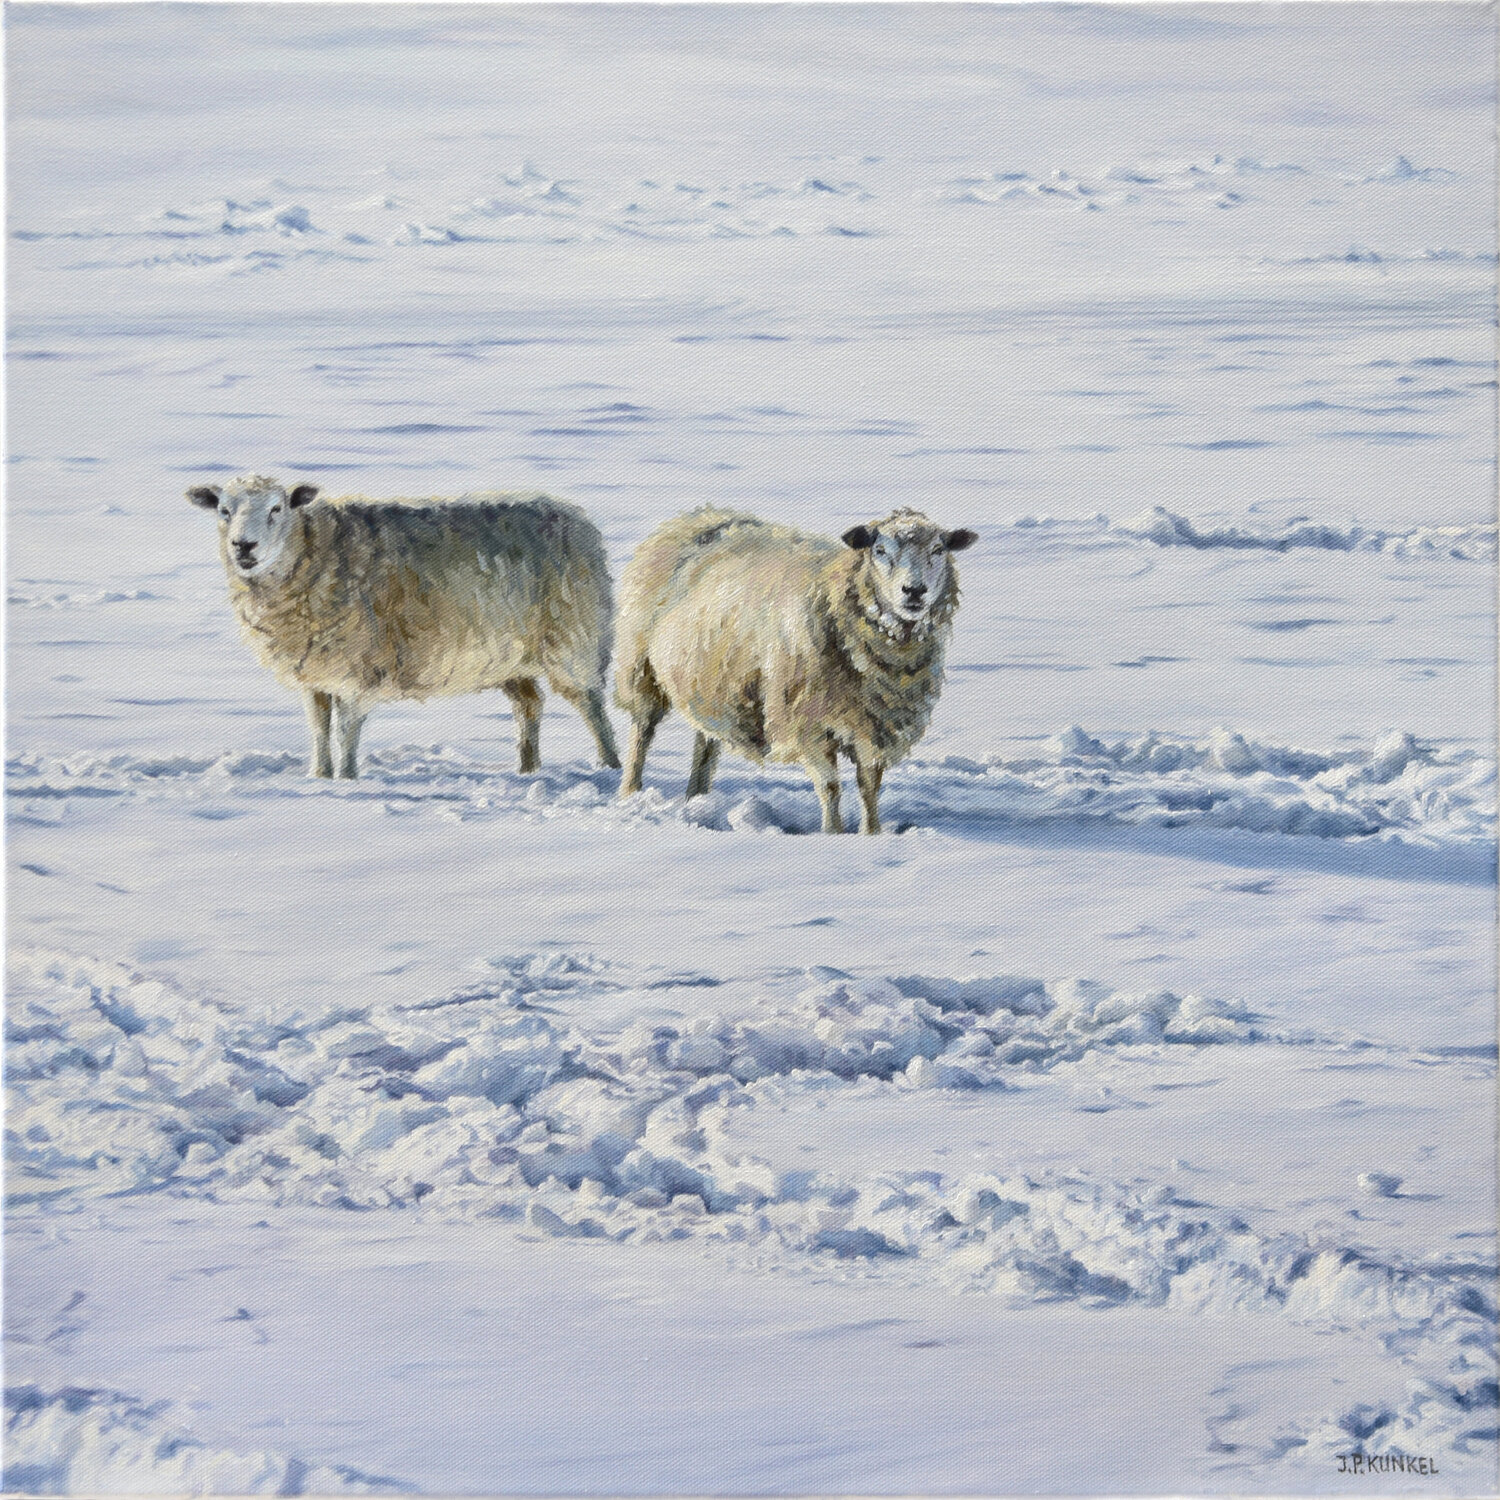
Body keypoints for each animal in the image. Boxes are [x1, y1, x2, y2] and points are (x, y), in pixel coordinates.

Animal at [188, 474, 620, 779]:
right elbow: (318, 730)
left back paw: (609, 767)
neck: (316, 552)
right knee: (529, 706)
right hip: (508, 656)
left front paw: (347, 781)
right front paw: (320, 778)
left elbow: (346, 731)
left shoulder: (357, 669)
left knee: (592, 708)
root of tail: (576, 516)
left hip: (573, 639)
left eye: (277, 508)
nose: (243, 546)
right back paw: (527, 770)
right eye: (223, 510)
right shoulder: (314, 673)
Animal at [615, 506, 976, 833]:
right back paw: (630, 793)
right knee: (642, 733)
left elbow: (869, 786)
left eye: (939, 549)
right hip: (642, 669)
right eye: (880, 550)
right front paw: (833, 835)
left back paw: (697, 798)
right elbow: (830, 786)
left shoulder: (875, 725)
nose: (914, 591)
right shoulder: (808, 724)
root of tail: (697, 516)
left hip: (710, 683)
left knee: (706, 742)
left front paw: (871, 834)